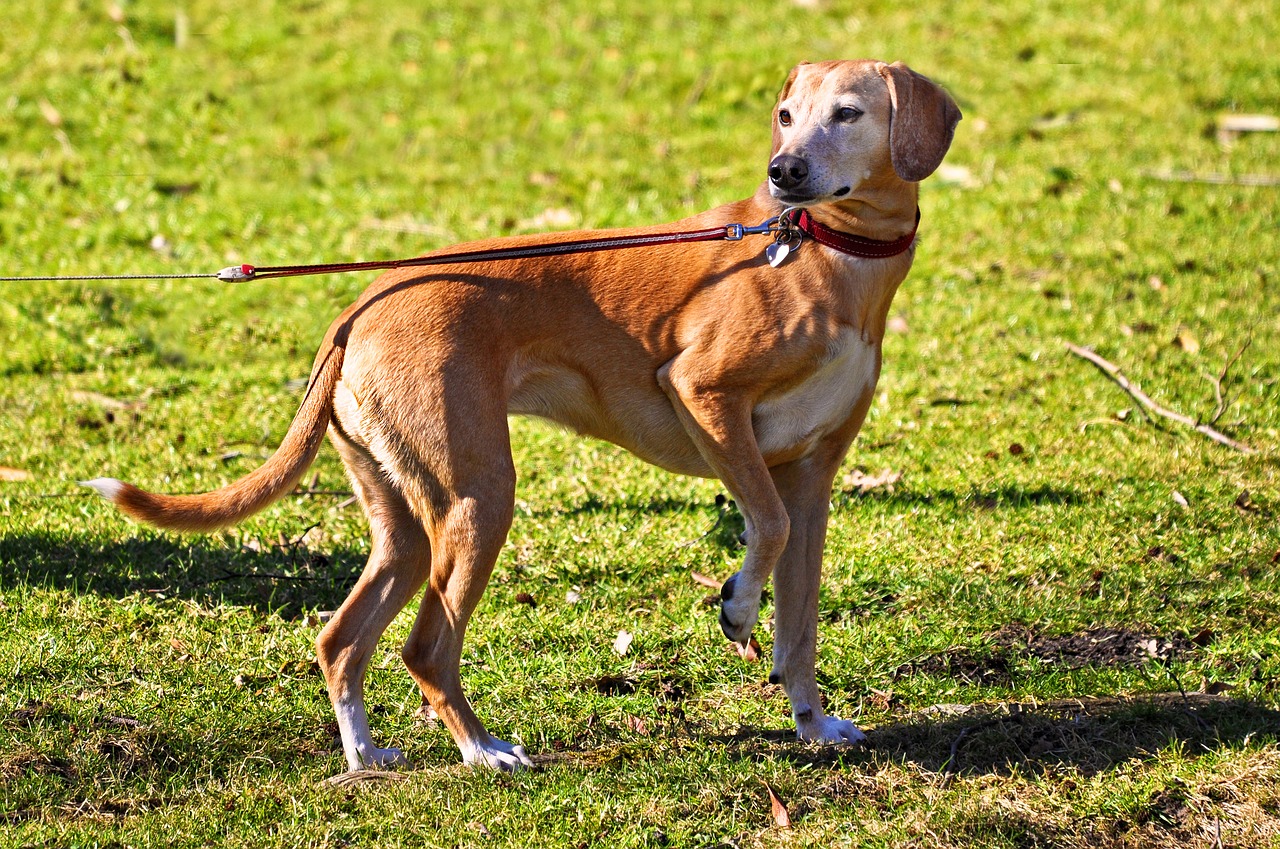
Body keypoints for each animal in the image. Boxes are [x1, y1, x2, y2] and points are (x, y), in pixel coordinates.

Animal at [82, 63, 962, 773]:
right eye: (786, 115)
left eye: (847, 112)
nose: (784, 172)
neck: (824, 252)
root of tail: (360, 306)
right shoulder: (706, 396)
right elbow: (764, 531)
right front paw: (739, 603)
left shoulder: (813, 480)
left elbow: (801, 620)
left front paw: (813, 721)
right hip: (479, 499)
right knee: (426, 649)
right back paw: (482, 750)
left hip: (409, 523)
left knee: (340, 640)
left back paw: (367, 757)